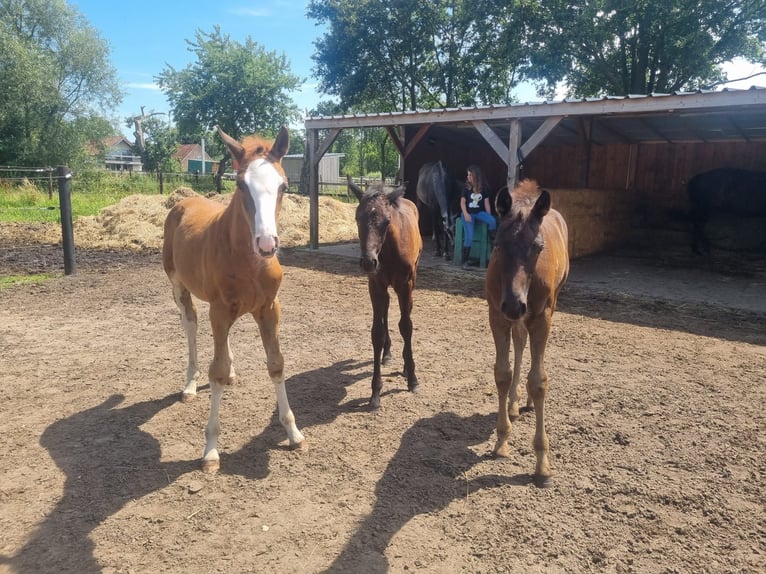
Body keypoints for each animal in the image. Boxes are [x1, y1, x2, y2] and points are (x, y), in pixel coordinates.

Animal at [350, 180, 424, 410]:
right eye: (357, 217)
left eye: (387, 220)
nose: (368, 262)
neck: (389, 250)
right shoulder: (376, 285)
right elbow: (377, 333)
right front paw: (375, 393)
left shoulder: (406, 285)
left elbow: (406, 326)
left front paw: (412, 378)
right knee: (385, 310)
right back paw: (388, 353)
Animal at [486, 182, 568, 488]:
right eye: (497, 244)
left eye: (537, 247)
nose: (514, 303)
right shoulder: (497, 315)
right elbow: (502, 373)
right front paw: (501, 441)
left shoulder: (542, 318)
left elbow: (539, 380)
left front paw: (542, 465)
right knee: (520, 344)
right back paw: (513, 404)